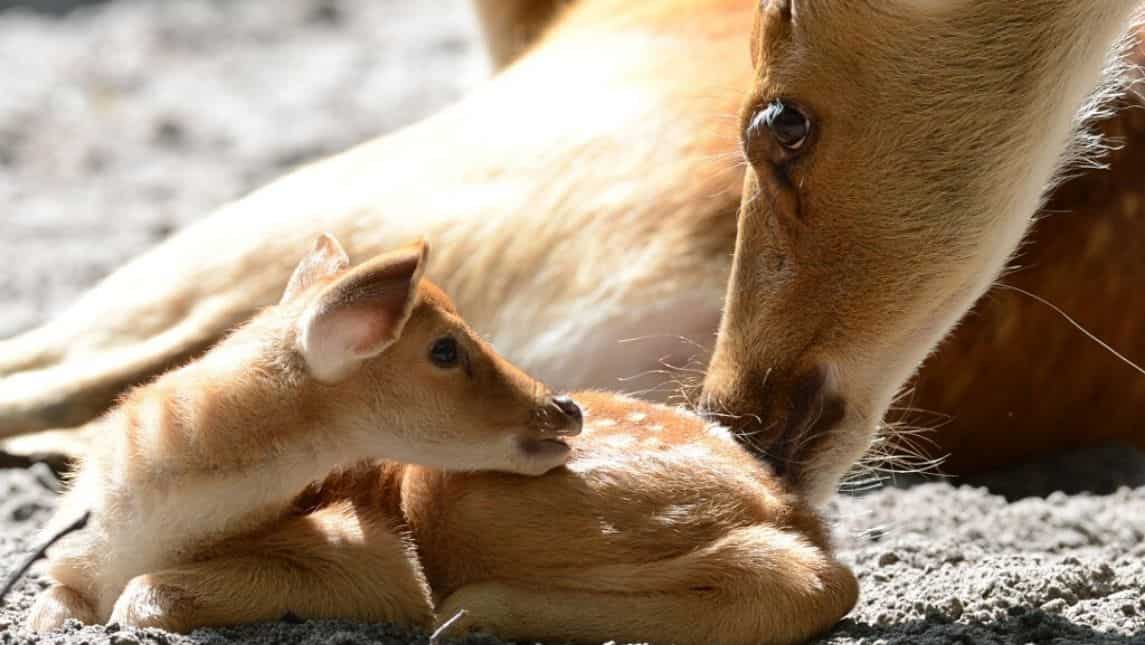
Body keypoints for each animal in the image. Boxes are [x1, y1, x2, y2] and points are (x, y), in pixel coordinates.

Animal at [24, 235, 857, 645]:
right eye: (445, 349)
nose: (561, 407)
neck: (141, 515)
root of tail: (791, 505)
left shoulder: (367, 556)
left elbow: (145, 596)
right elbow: (52, 604)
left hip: (478, 503)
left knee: (804, 578)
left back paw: (475, 614)